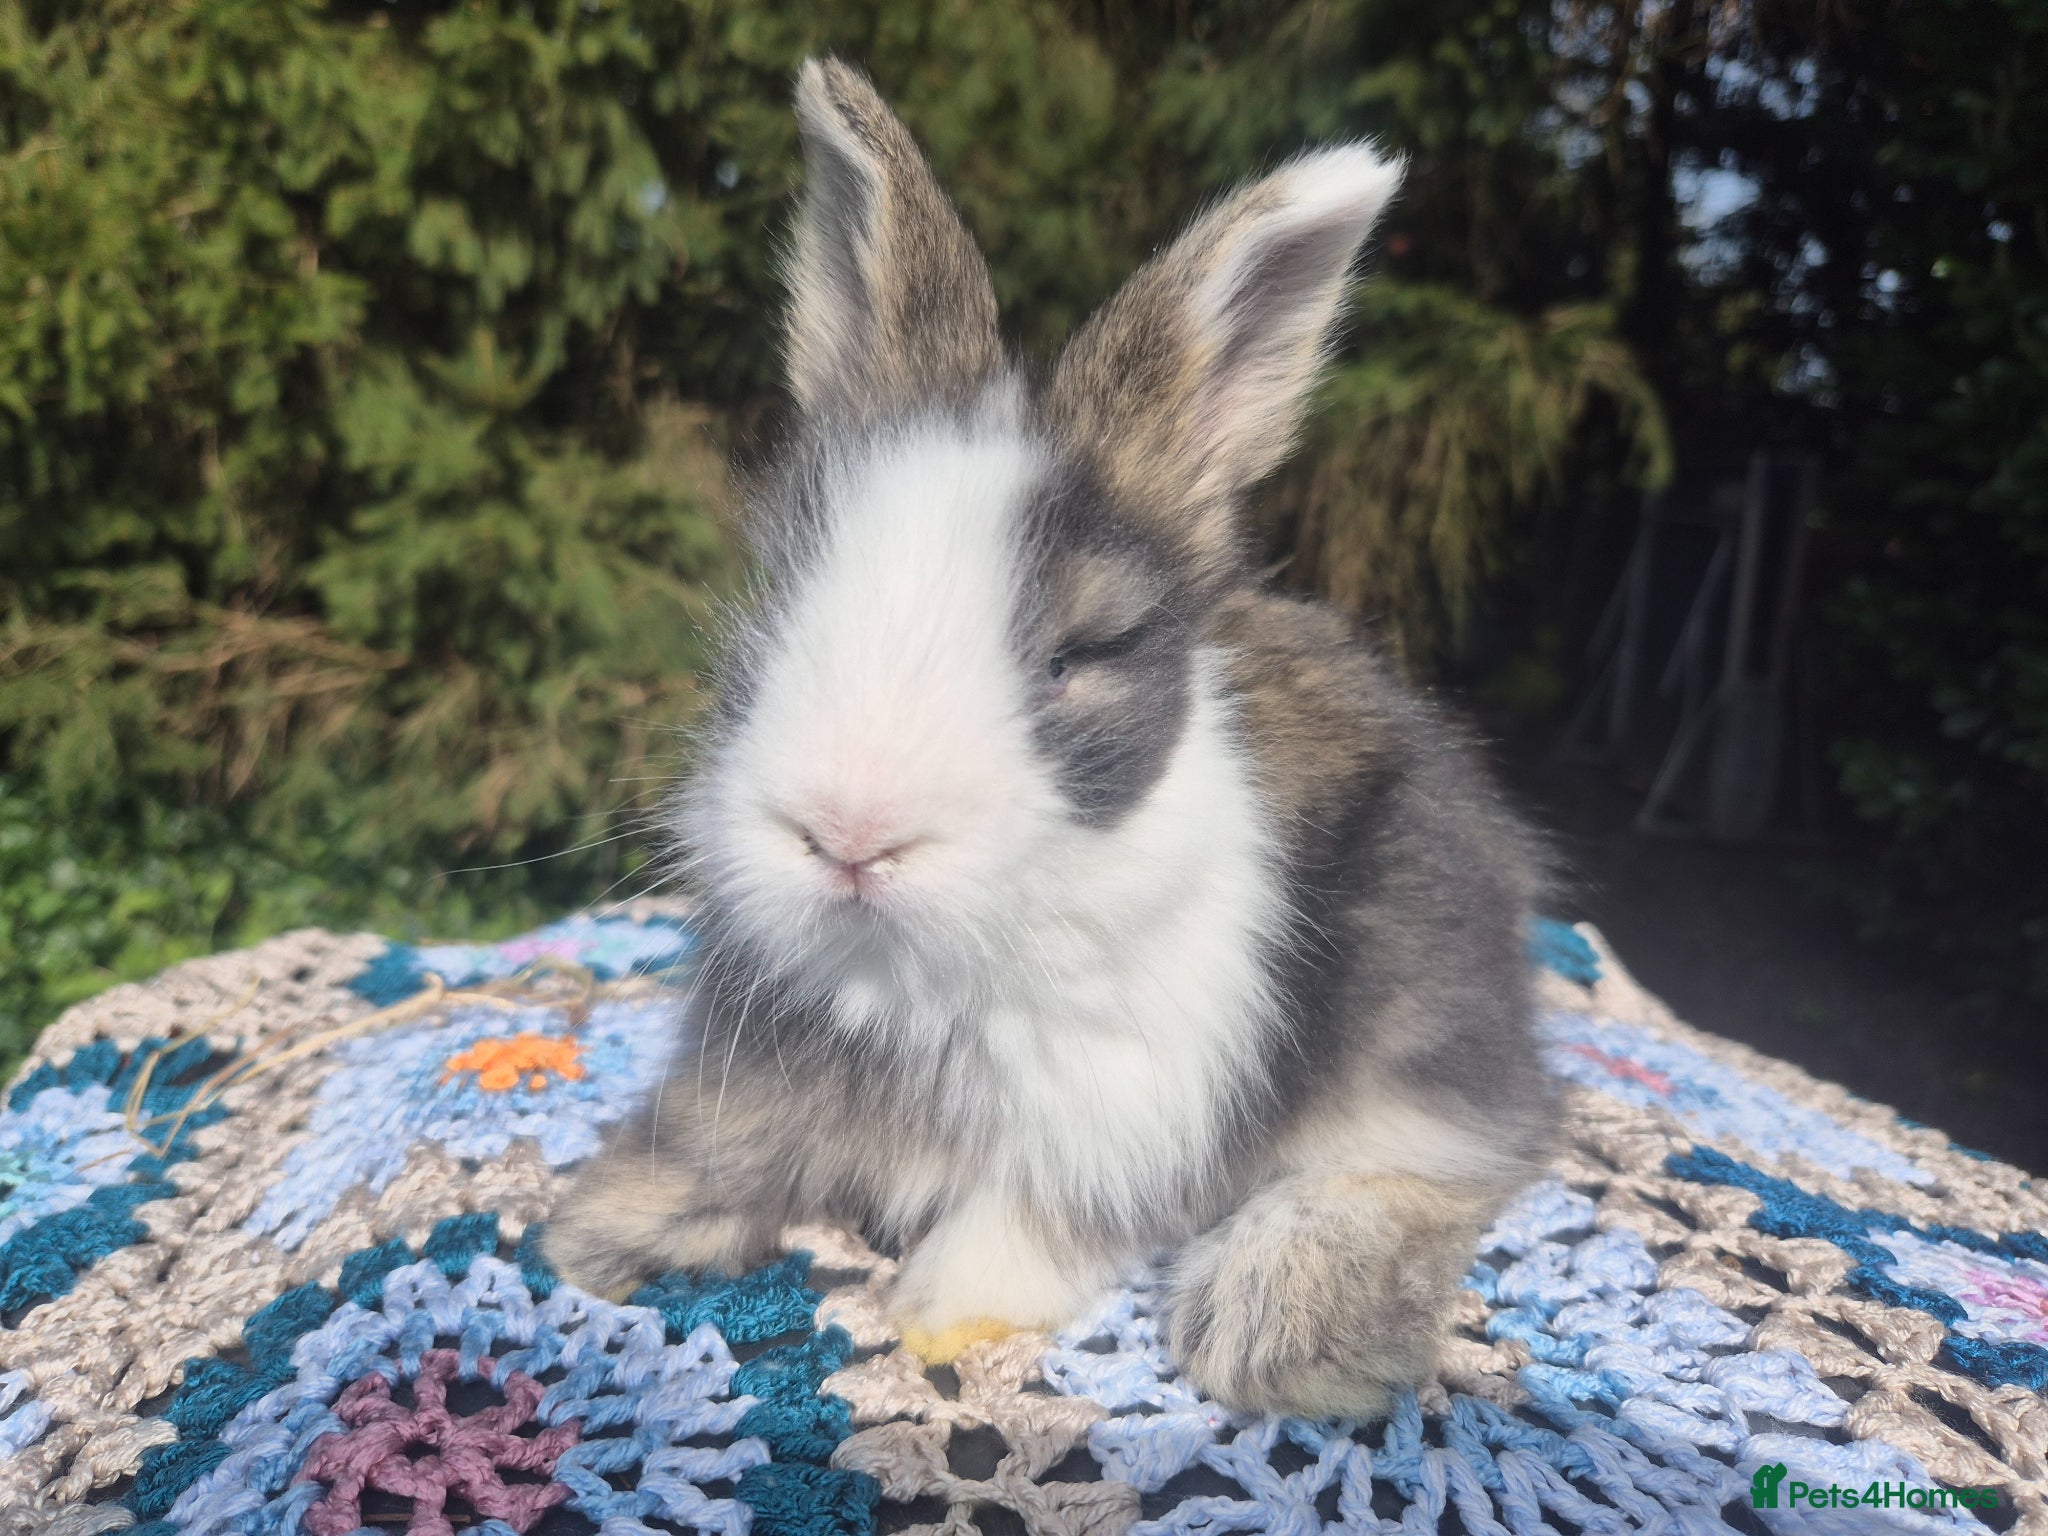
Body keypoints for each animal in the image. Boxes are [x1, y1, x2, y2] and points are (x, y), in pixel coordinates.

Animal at [544, 55, 1557, 1419]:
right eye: (785, 595)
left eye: (1076, 657)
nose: (848, 834)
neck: (923, 969)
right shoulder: (768, 1054)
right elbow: (726, 1139)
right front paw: (597, 1229)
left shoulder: (1122, 1104)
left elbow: (1031, 1223)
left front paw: (928, 1317)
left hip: (1417, 1008)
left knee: (1447, 1154)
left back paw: (1276, 1322)